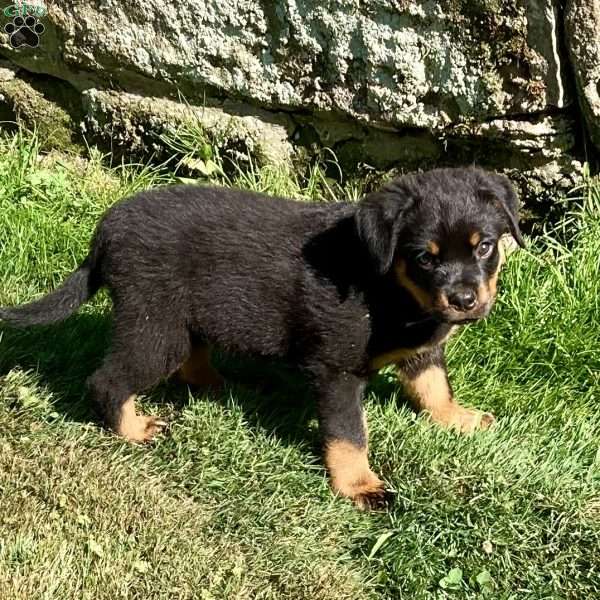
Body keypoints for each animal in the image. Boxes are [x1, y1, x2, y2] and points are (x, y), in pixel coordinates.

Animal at [0, 166, 524, 508]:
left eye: (484, 246)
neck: (390, 289)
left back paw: (222, 386)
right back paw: (132, 429)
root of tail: (105, 231)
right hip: (156, 325)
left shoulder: (424, 350)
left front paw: (458, 419)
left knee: (193, 357)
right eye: (423, 257)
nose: (464, 300)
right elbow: (350, 434)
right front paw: (359, 486)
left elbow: (434, 388)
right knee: (108, 380)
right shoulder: (336, 370)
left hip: (185, 318)